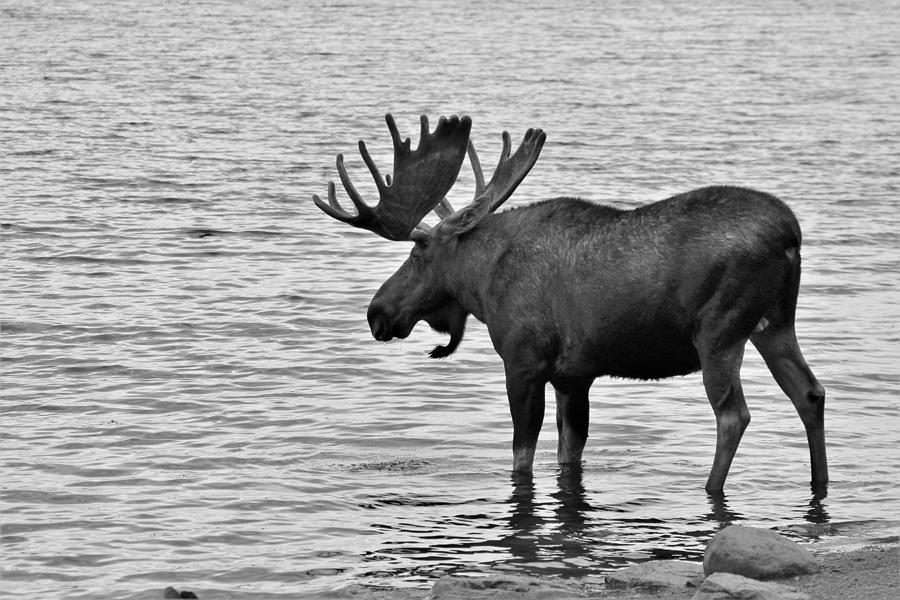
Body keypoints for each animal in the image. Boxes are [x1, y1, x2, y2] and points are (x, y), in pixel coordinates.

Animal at [312, 113, 828, 492]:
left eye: (417, 254)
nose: (377, 312)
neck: (482, 282)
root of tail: (791, 235)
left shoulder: (523, 362)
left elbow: (522, 455)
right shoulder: (573, 376)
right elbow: (569, 454)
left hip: (719, 332)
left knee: (733, 415)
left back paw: (710, 487)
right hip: (775, 324)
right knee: (810, 393)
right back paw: (819, 484)